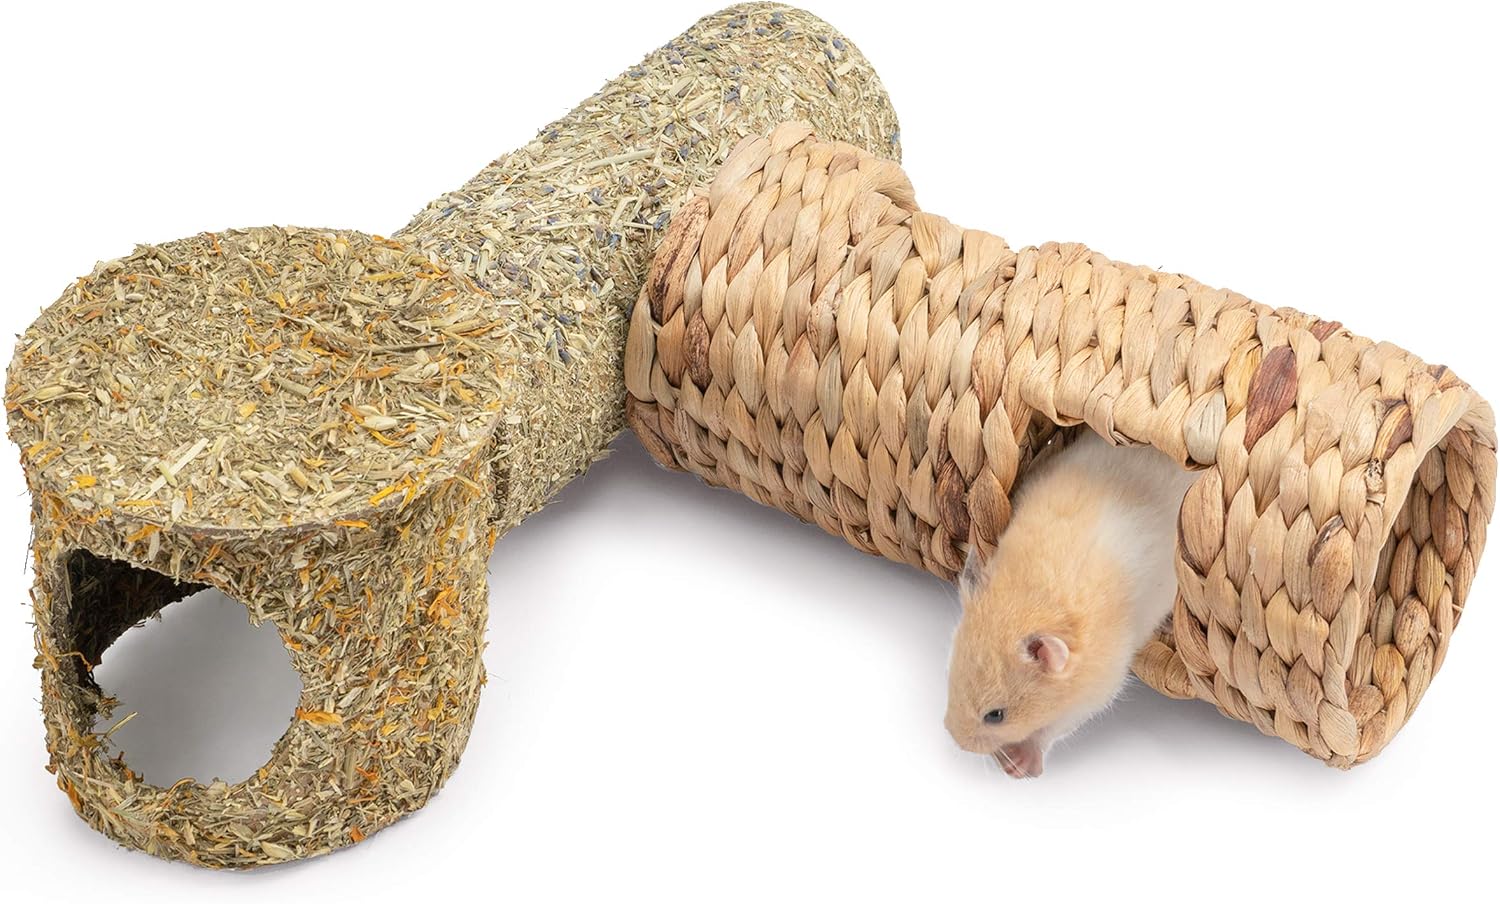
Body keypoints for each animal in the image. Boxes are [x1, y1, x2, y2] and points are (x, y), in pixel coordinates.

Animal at [944, 430, 1200, 778]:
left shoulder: (1096, 690)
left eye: (996, 715)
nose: (953, 737)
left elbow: (1052, 728)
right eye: (951, 676)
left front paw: (1020, 767)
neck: (1033, 599)